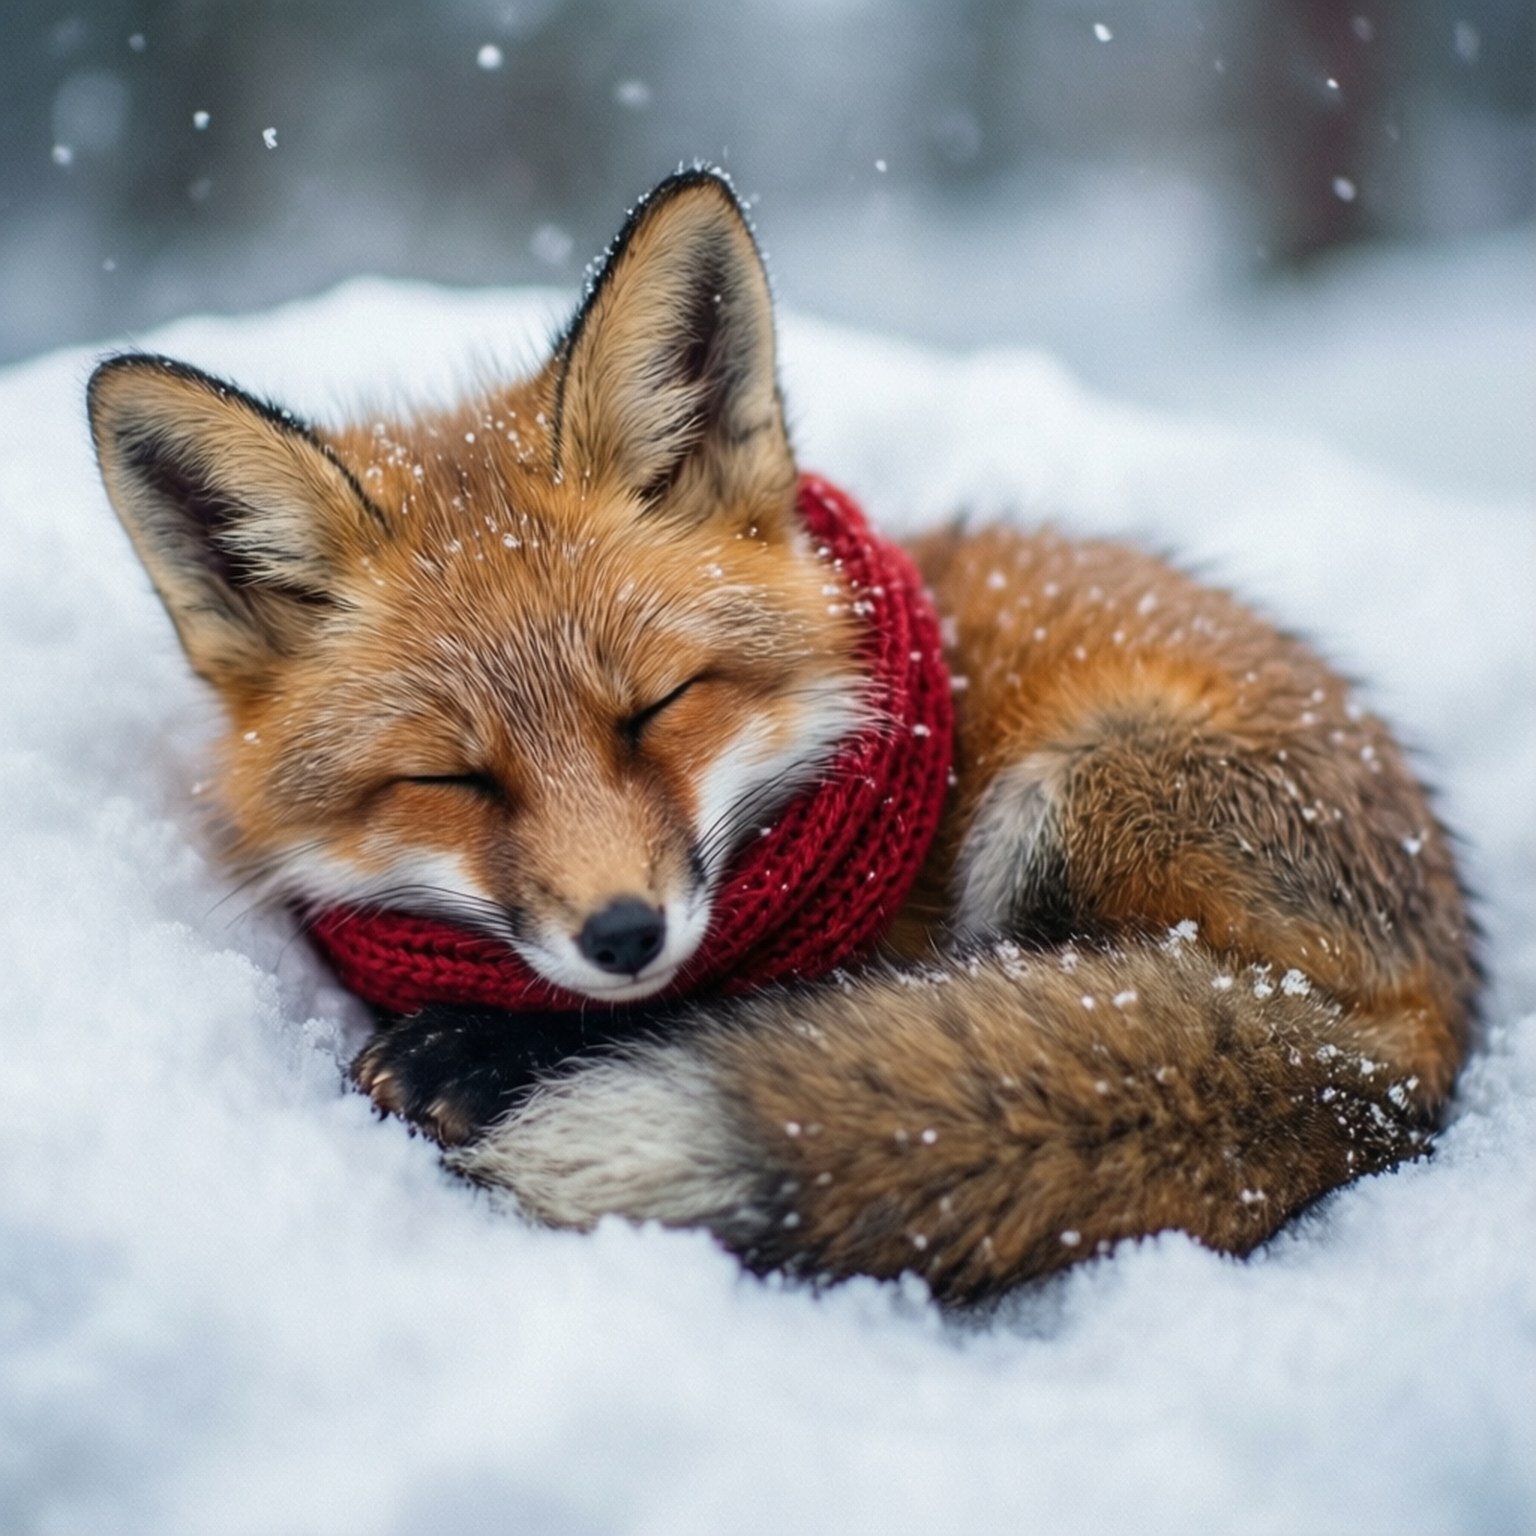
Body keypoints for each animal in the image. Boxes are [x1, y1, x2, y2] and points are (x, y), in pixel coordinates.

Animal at [87, 168, 1478, 1305]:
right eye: (453, 777)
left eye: (657, 707)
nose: (624, 936)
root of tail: (1405, 1060)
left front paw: (491, 1049)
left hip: (1071, 798)